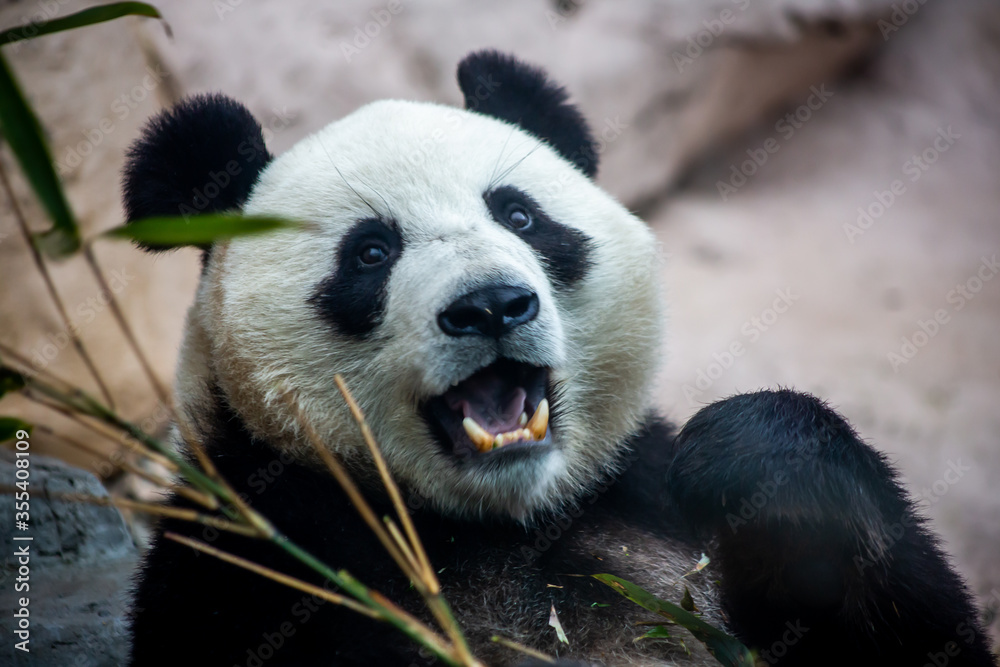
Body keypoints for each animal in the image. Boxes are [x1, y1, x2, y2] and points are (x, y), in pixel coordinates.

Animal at [121, 51, 994, 667]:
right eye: (370, 251)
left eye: (519, 215)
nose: (490, 305)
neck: (492, 524)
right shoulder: (250, 562)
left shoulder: (636, 498)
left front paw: (755, 456)